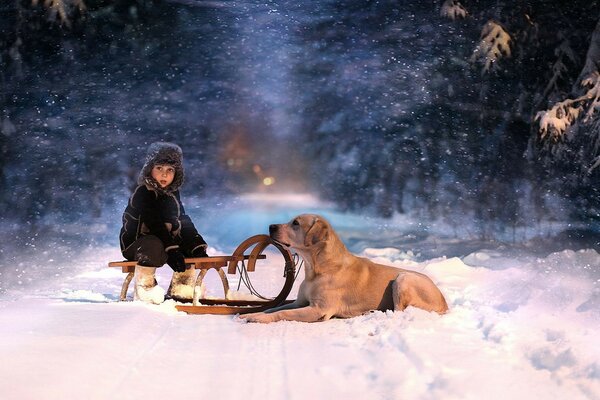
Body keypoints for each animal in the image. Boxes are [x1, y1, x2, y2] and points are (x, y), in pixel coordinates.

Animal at [237, 214, 448, 324]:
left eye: (295, 223)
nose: (271, 226)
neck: (316, 268)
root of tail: (444, 303)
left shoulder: (318, 309)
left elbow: (283, 313)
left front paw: (257, 317)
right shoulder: (299, 303)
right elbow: (275, 308)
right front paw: (252, 313)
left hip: (403, 279)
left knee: (398, 312)